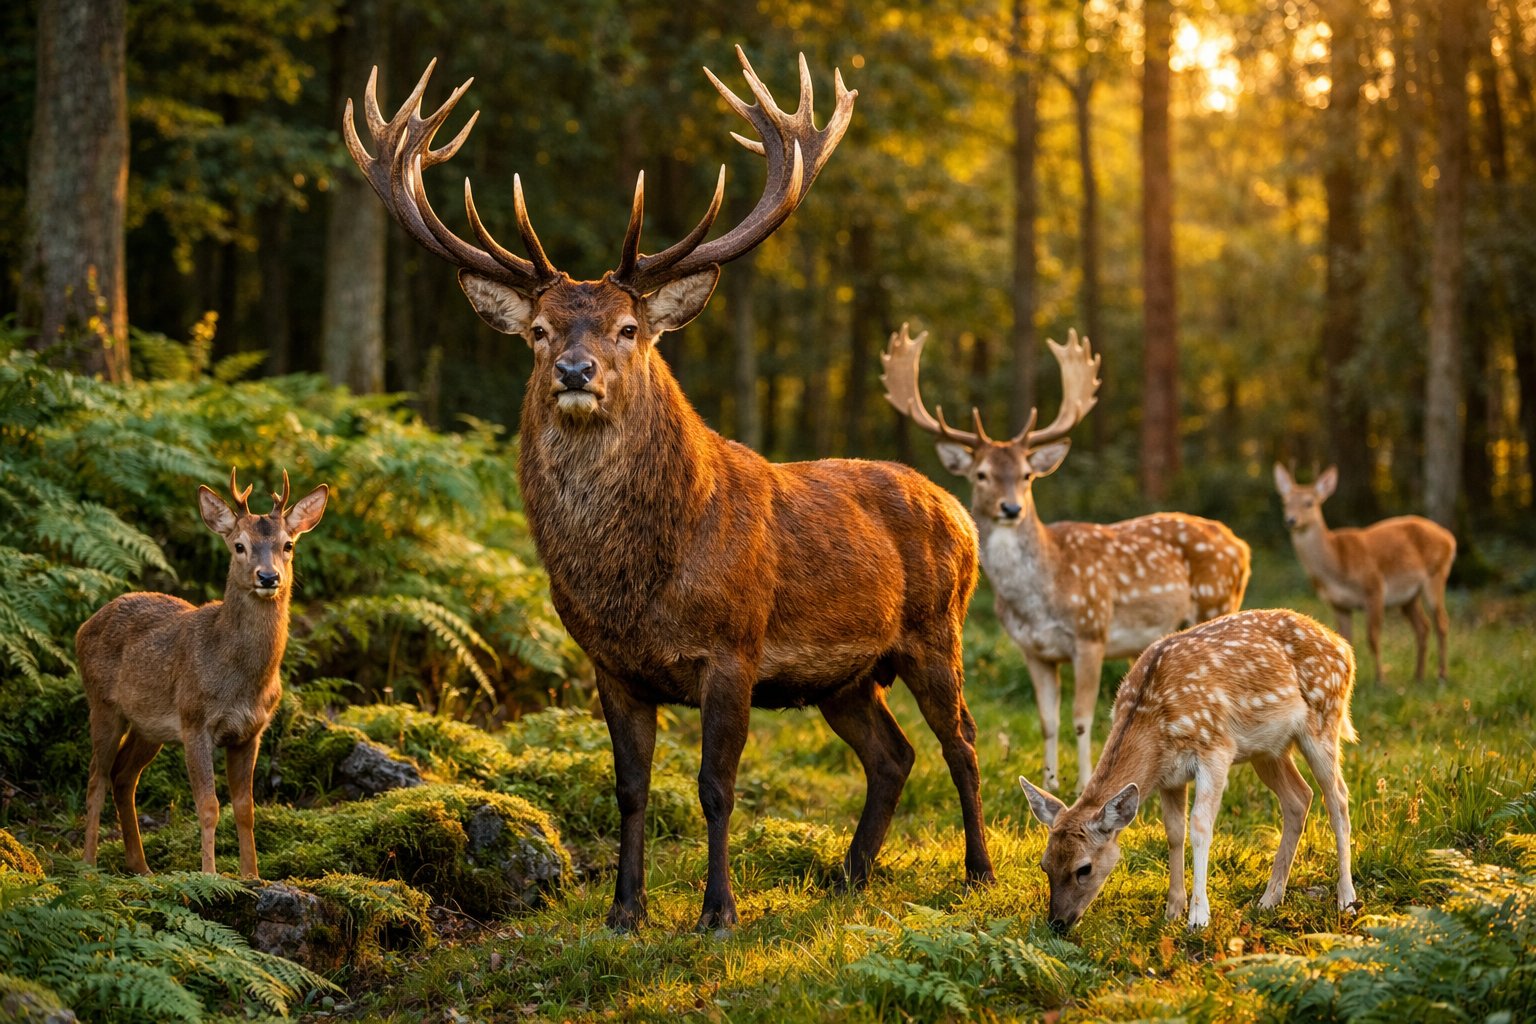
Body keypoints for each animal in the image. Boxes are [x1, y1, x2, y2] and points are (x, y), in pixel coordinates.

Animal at [78, 469, 328, 878]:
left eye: (288, 545)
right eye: (239, 545)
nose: (268, 576)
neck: (241, 679)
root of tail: (84, 626)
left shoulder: (250, 731)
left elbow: (245, 808)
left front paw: (252, 875)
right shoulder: (195, 720)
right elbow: (209, 805)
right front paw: (209, 875)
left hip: (149, 725)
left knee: (122, 776)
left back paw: (141, 866)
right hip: (102, 703)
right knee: (96, 776)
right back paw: (88, 864)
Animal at [343, 49, 994, 932]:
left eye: (629, 329)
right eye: (538, 331)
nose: (574, 372)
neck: (637, 585)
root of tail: (959, 510)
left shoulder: (735, 648)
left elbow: (716, 788)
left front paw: (718, 912)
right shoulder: (610, 666)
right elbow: (630, 788)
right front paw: (625, 910)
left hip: (936, 630)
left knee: (962, 741)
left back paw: (978, 870)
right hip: (845, 677)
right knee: (893, 754)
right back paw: (849, 875)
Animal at [883, 326, 1251, 794]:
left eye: (1027, 475)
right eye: (981, 474)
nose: (1010, 508)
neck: (1043, 592)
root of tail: (1241, 545)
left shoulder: (1091, 633)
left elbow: (1082, 718)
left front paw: (1081, 783)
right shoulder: (1034, 650)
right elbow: (1048, 720)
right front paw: (1050, 781)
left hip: (1217, 600)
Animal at [1019, 609, 1359, 932]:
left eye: (1084, 868)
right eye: (1044, 865)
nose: (1057, 923)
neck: (1154, 723)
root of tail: (1345, 648)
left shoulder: (1216, 750)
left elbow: (1199, 827)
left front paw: (1198, 918)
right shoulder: (1168, 776)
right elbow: (1173, 832)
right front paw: (1172, 910)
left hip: (1324, 719)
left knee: (1338, 799)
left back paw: (1346, 899)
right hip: (1268, 749)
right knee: (1299, 797)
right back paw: (1269, 899)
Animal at [1273, 464, 1456, 683]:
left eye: (1309, 503)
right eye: (1285, 502)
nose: (1291, 520)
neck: (1336, 564)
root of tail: (1449, 538)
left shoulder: (1374, 587)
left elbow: (1373, 637)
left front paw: (1380, 680)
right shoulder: (1339, 603)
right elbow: (1344, 639)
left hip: (1436, 575)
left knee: (1441, 622)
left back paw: (1442, 675)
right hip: (1409, 597)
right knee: (1423, 626)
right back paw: (1418, 676)